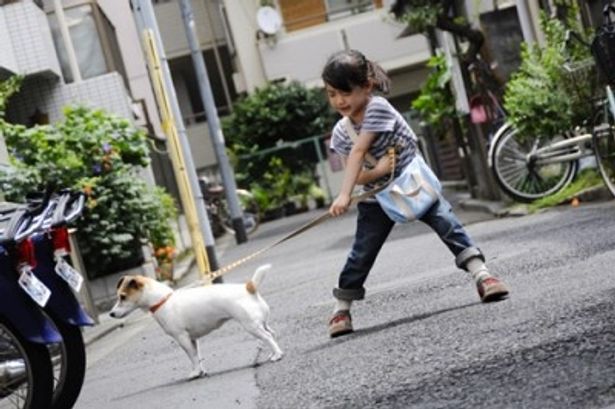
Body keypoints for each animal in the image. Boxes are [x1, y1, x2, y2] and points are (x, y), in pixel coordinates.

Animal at [109, 262, 282, 378]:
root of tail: (248, 288)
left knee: (267, 337)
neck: (163, 300)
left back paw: (277, 355)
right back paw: (274, 353)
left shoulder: (182, 338)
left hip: (250, 326)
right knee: (272, 334)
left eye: (122, 297)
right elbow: (197, 356)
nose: (111, 314)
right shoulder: (192, 339)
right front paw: (201, 371)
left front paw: (195, 372)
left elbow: (191, 357)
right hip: (261, 323)